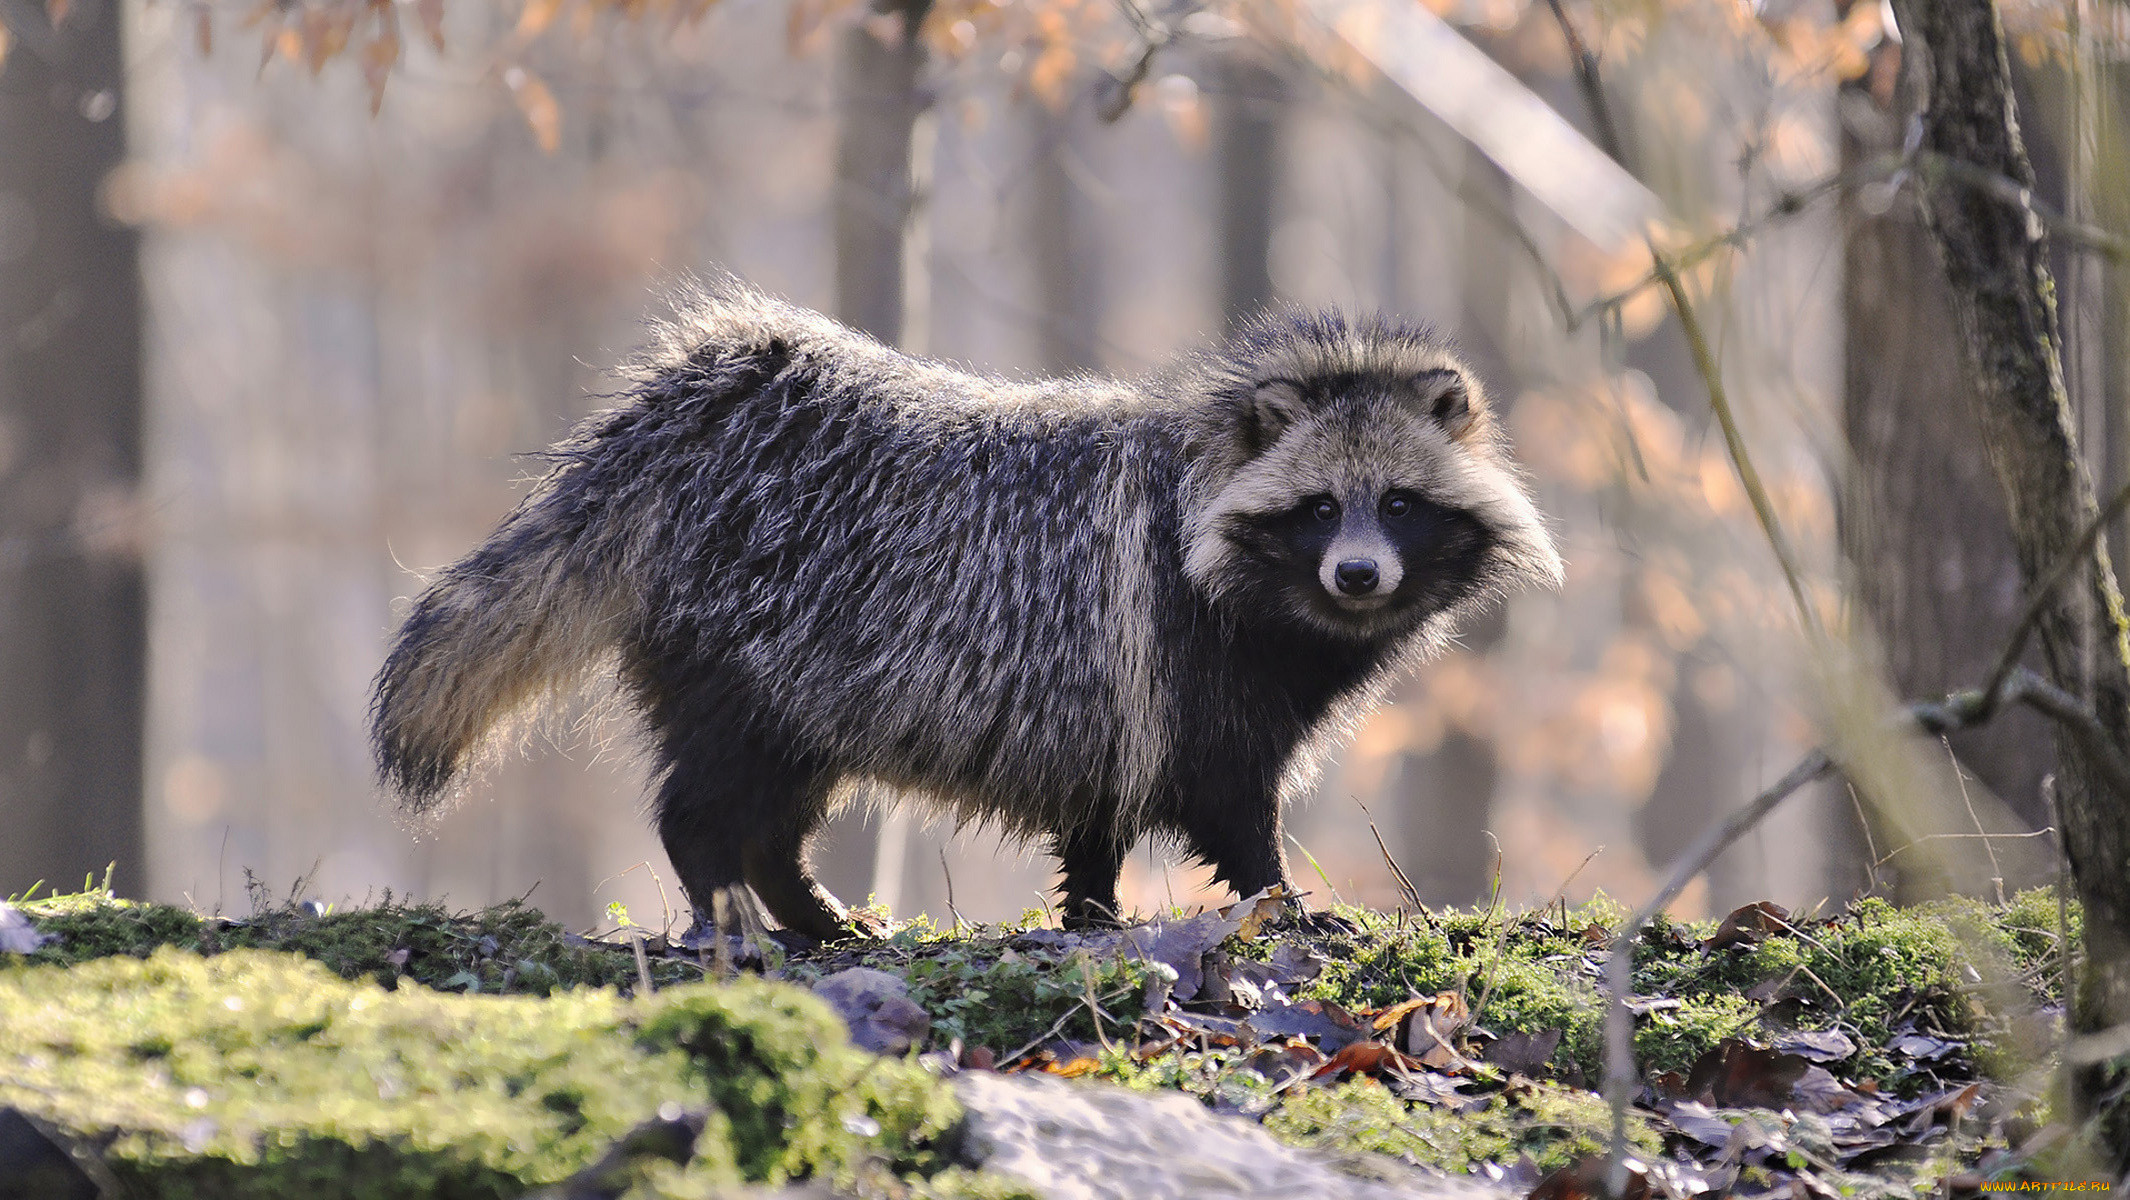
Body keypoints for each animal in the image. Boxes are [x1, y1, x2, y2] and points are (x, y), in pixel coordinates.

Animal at [370, 281, 1567, 937]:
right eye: (1320, 509)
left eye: (1399, 503)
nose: (1358, 577)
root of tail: (697, 413)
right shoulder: (1186, 668)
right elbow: (1232, 805)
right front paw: (1282, 902)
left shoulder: (1113, 696)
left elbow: (1099, 820)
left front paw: (1091, 915)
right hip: (752, 651)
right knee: (707, 803)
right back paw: (731, 902)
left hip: (809, 688)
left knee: (774, 815)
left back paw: (803, 907)